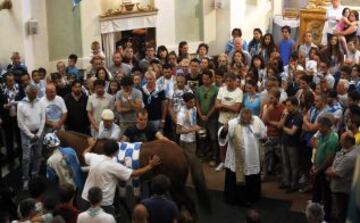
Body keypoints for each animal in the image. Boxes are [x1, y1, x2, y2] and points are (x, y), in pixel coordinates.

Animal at [56, 131, 211, 220]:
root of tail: (181, 151)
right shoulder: (118, 181)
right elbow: (120, 198)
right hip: (174, 186)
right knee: (180, 202)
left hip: (176, 185)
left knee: (187, 202)